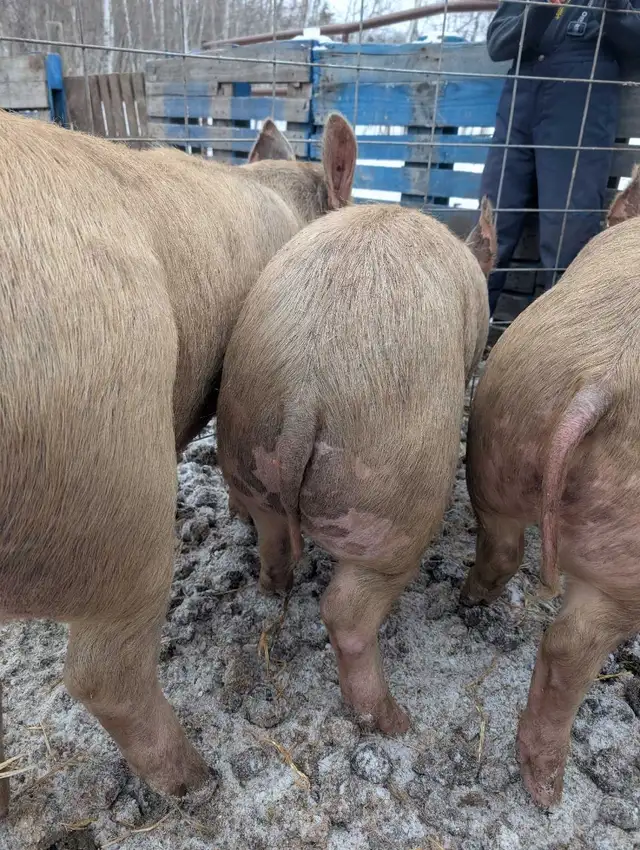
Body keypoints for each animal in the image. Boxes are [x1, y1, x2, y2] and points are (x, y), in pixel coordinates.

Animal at [217, 199, 496, 733]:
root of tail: (304, 395)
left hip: (249, 452)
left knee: (272, 541)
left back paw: (276, 588)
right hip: (393, 504)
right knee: (347, 615)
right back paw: (394, 722)